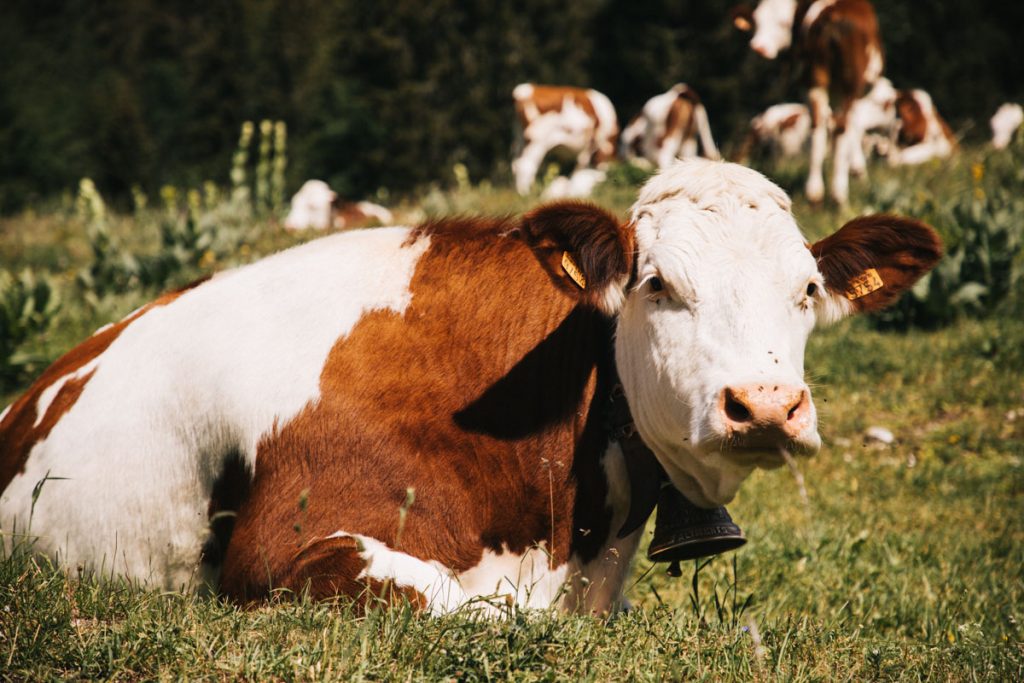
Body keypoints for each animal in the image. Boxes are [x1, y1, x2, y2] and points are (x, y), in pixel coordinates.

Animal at [736, 0, 885, 204]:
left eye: (783, 23)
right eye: (757, 21)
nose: (759, 48)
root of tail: (831, 15)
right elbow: (853, 125)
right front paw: (857, 169)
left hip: (815, 79)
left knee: (819, 124)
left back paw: (815, 192)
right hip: (844, 81)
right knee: (838, 127)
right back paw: (837, 193)